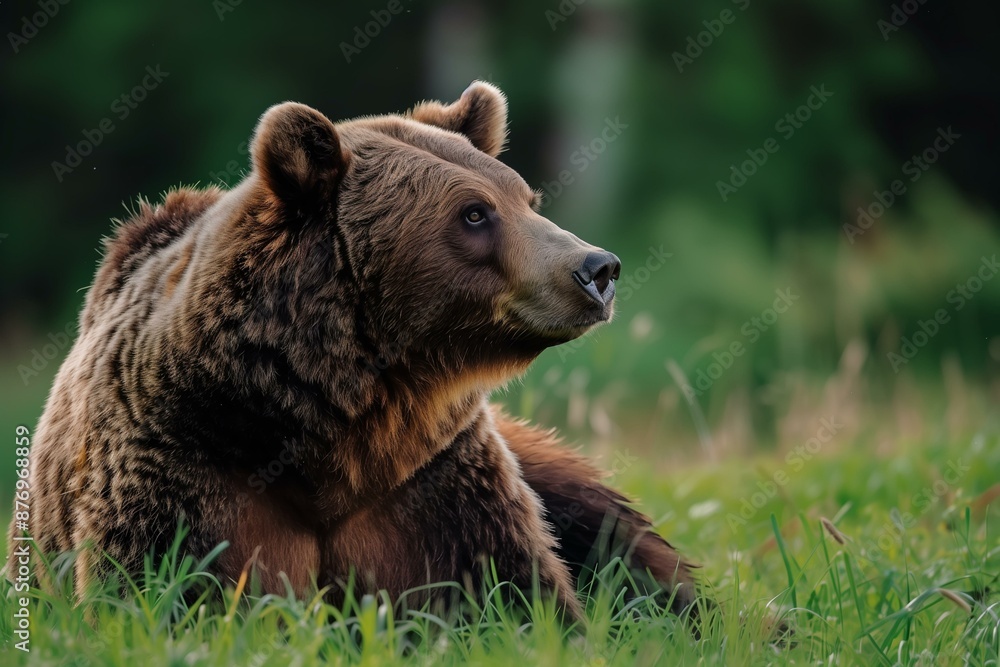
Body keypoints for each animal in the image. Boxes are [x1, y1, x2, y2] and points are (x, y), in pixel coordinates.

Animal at [8, 81, 695, 622]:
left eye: (527, 199)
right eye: (473, 213)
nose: (597, 269)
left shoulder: (431, 479)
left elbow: (515, 592)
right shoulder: (187, 467)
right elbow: (163, 593)